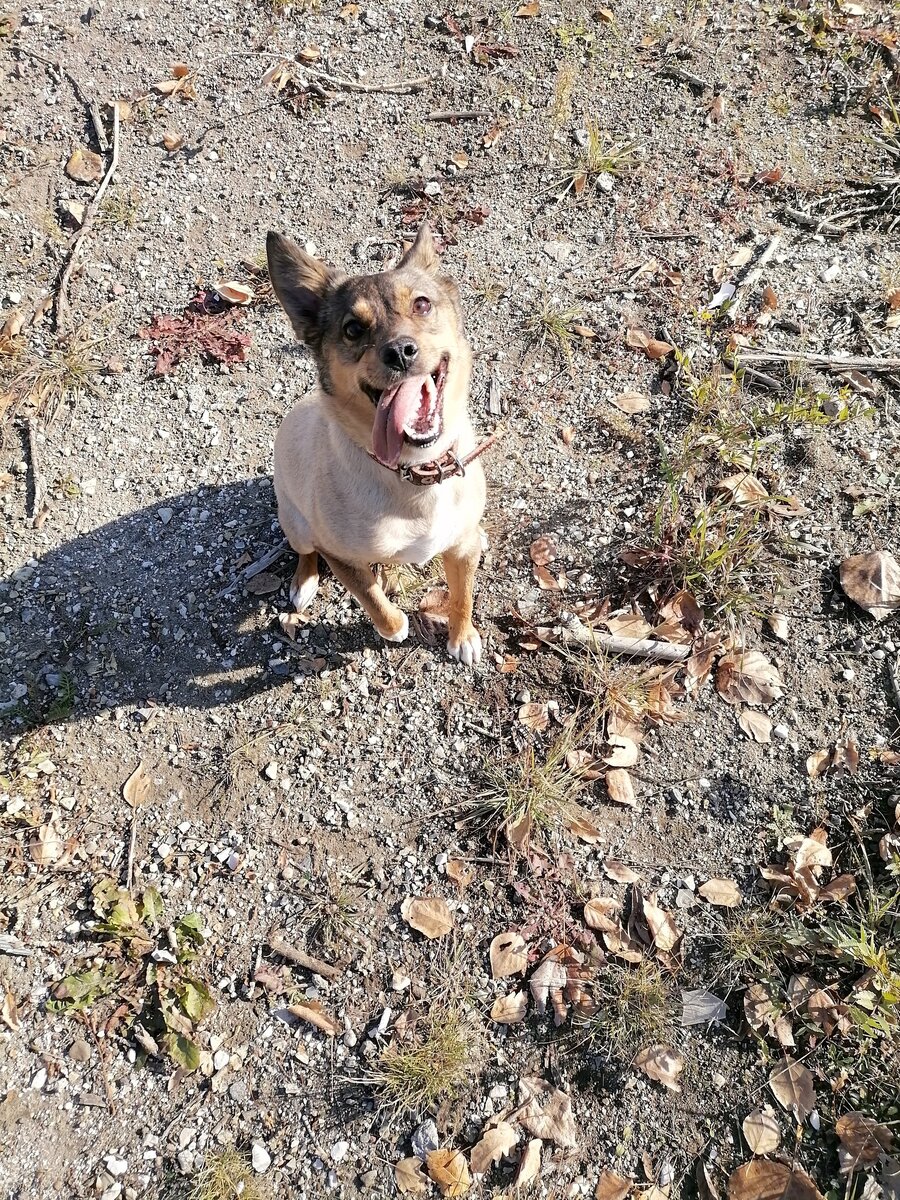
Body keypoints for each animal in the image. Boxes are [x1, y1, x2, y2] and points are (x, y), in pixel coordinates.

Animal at [267, 220, 494, 662]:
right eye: (353, 329)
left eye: (422, 305)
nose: (401, 352)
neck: (416, 472)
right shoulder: (340, 557)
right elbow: (373, 598)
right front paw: (396, 627)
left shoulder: (461, 547)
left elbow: (462, 594)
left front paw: (462, 636)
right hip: (296, 522)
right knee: (305, 551)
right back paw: (303, 582)